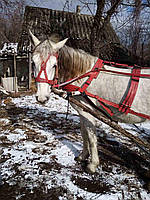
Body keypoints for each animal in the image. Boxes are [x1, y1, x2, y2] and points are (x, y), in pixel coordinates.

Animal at [29, 30, 150, 173]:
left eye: (54, 65)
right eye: (33, 63)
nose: (42, 97)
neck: (84, 77)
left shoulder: (88, 113)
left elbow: (91, 138)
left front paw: (92, 164)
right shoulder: (82, 112)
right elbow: (84, 134)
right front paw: (83, 156)